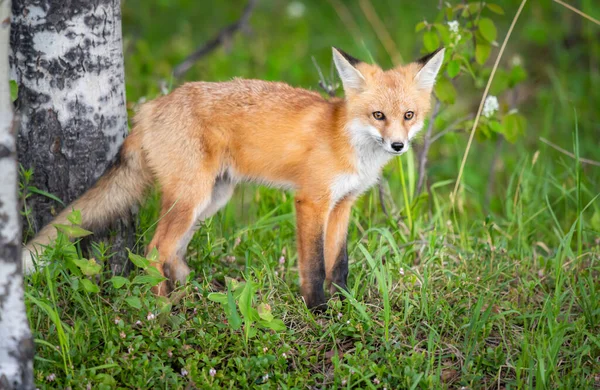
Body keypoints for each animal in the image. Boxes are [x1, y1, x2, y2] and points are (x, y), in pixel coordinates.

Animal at [22, 46, 446, 308]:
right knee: (154, 251)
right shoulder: (311, 201)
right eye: (378, 116)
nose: (398, 146)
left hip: (211, 199)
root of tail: (150, 107)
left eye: (408, 115)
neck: (347, 141)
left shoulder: (342, 204)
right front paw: (318, 310)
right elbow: (313, 266)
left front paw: (346, 305)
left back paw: (192, 293)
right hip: (190, 198)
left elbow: (338, 263)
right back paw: (159, 309)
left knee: (173, 254)